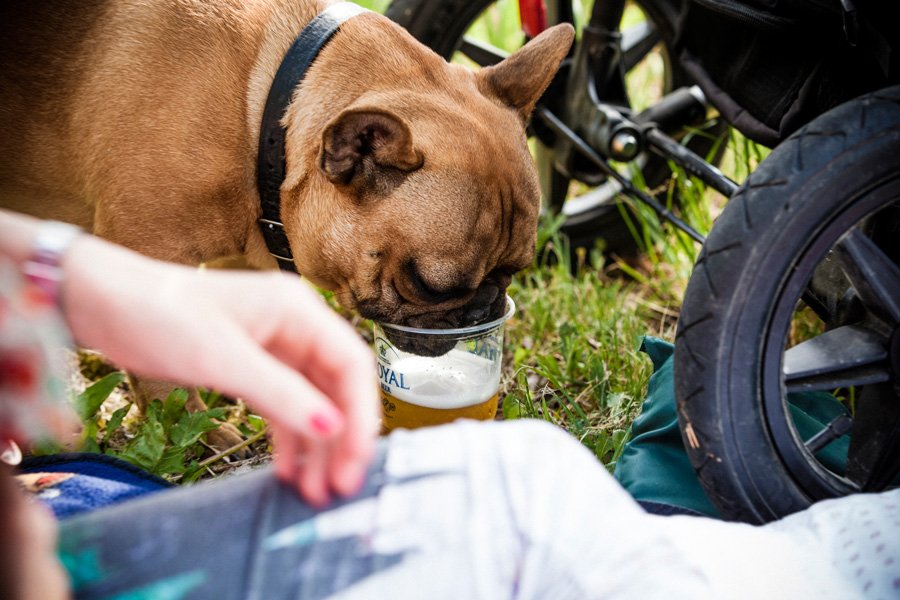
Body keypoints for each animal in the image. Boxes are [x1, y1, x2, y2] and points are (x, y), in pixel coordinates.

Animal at [0, 2, 572, 446]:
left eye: (515, 270)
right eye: (429, 286)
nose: (486, 308)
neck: (264, 112)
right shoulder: (146, 259)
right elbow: (162, 374)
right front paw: (196, 431)